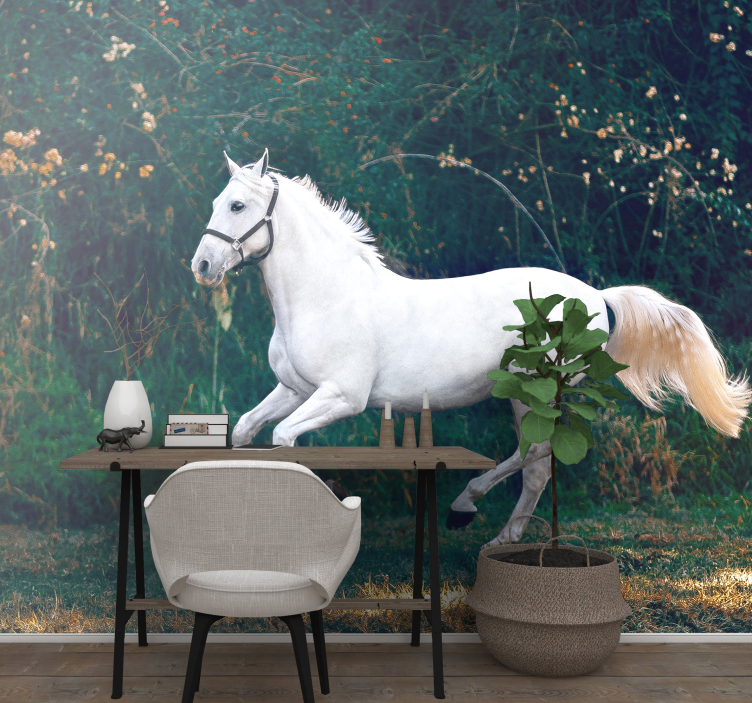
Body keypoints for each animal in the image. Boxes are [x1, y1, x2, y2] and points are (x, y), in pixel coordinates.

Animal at [191, 149, 751, 547]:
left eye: (237, 205)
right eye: (215, 203)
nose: (202, 266)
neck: (324, 295)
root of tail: (595, 295)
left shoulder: (341, 396)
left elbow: (283, 438)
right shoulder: (294, 389)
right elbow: (246, 430)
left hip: (539, 390)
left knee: (536, 454)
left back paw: (466, 507)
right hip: (526, 395)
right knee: (537, 464)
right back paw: (503, 537)